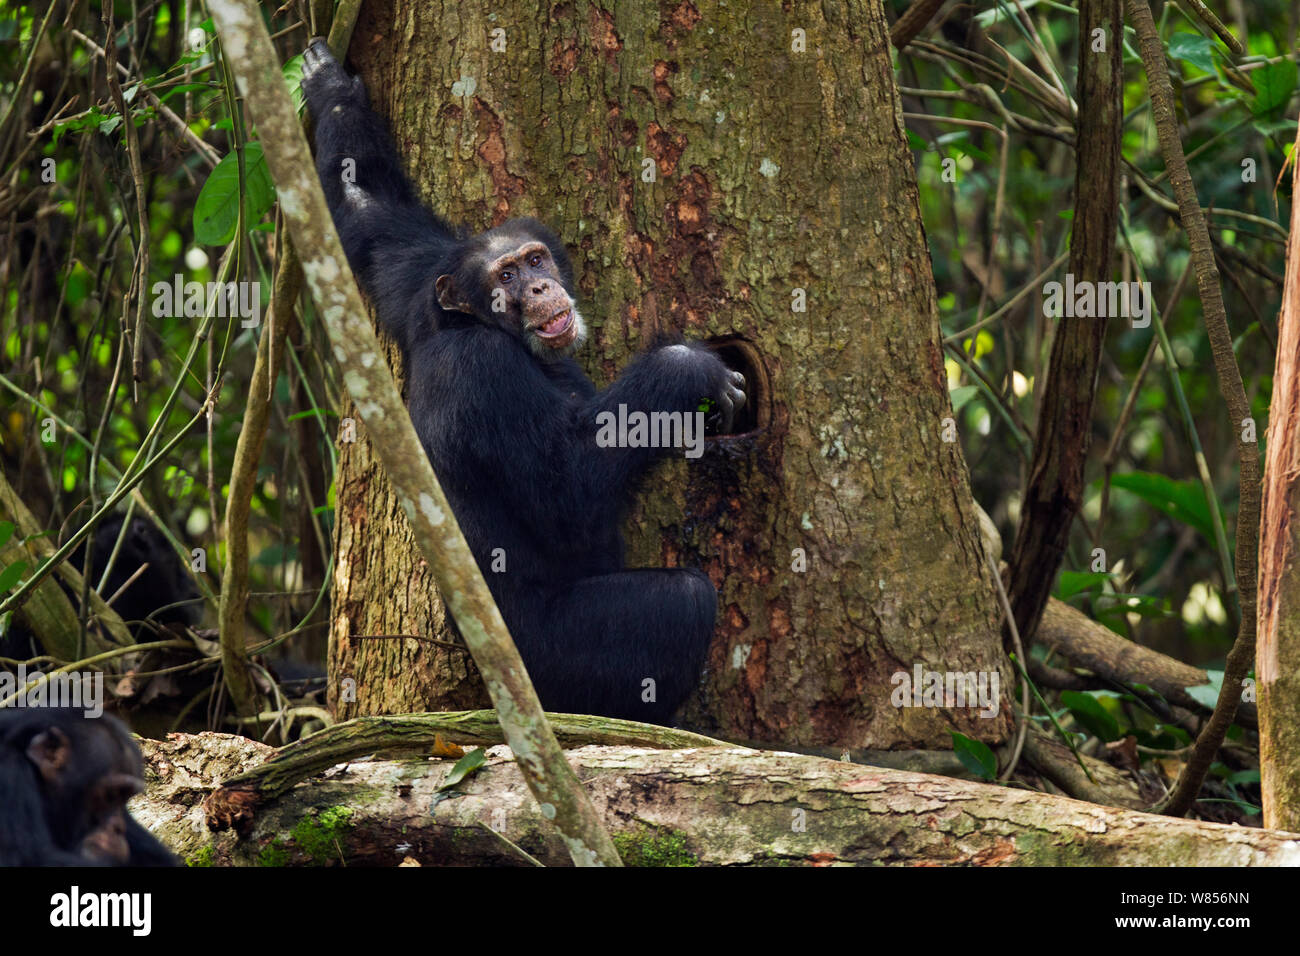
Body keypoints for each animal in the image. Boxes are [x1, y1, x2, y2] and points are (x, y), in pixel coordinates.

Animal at [300, 41, 748, 723]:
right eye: (506, 275)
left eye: (535, 259)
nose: (537, 286)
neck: (490, 329)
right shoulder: (484, 373)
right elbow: (568, 493)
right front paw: (685, 366)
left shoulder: (417, 279)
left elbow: (373, 219)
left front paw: (331, 90)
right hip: (552, 664)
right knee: (682, 600)